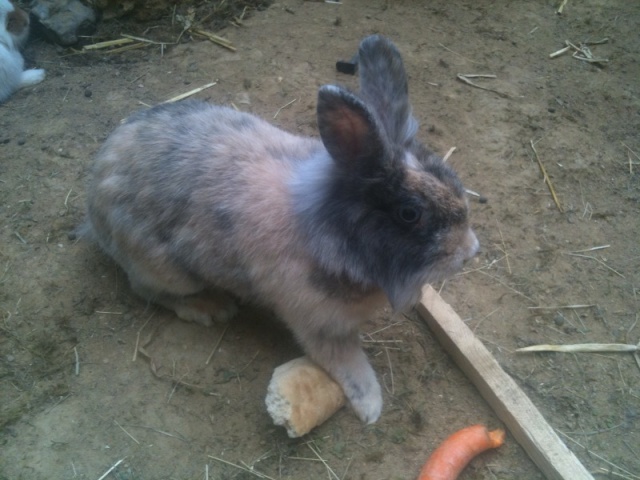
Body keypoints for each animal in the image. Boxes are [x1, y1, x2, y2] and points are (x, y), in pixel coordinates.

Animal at [82, 34, 478, 424]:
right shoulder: (319, 324)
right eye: (410, 213)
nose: (470, 251)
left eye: (453, 180)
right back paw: (212, 308)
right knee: (150, 292)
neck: (331, 229)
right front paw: (370, 408)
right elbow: (348, 363)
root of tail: (96, 186)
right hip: (166, 270)